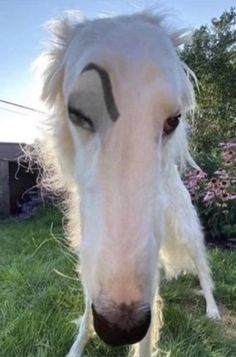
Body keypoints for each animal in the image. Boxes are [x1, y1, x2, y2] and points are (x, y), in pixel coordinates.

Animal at [36, 9, 220, 356]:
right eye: (77, 113)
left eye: (174, 119)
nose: (120, 329)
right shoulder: (91, 260)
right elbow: (85, 316)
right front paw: (77, 347)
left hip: (186, 229)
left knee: (203, 269)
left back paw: (213, 309)